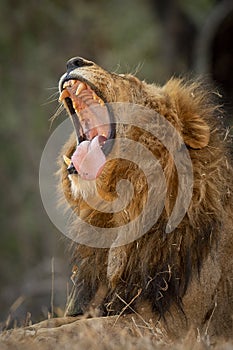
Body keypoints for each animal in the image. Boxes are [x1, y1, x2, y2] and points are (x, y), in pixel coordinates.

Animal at [57, 57, 233, 342]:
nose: (74, 61)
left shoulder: (175, 324)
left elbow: (74, 330)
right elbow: (53, 324)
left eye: (130, 80)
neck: (121, 212)